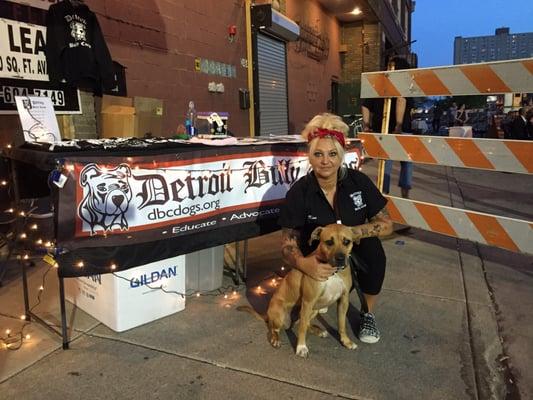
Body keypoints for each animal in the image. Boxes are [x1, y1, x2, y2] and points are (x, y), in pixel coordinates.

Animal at [239, 223, 360, 358]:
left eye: (347, 241)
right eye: (329, 242)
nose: (340, 258)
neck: (333, 272)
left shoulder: (344, 299)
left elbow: (342, 323)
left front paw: (346, 341)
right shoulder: (308, 301)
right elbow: (301, 329)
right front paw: (301, 347)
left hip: (314, 310)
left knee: (305, 323)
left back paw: (317, 330)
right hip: (280, 313)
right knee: (275, 328)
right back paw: (275, 339)